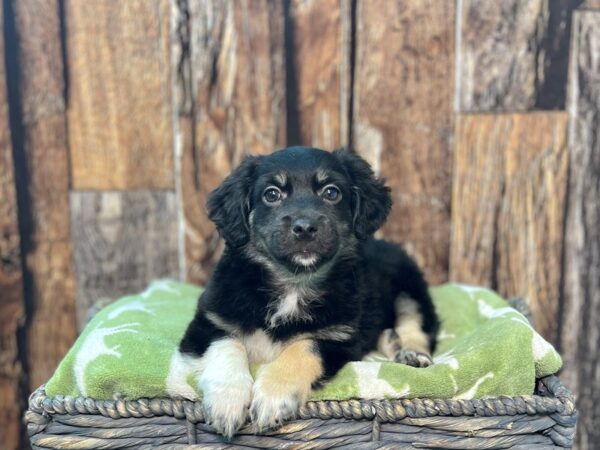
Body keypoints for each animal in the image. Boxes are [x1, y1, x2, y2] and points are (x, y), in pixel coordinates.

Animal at [177, 146, 436, 438]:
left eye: (332, 192)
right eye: (271, 194)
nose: (304, 228)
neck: (294, 282)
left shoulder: (339, 338)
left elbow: (303, 348)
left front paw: (273, 397)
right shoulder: (207, 323)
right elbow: (227, 344)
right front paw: (227, 400)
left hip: (410, 288)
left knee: (417, 325)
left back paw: (412, 354)